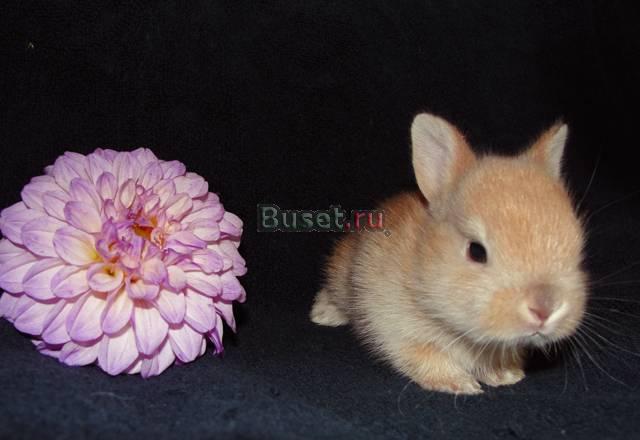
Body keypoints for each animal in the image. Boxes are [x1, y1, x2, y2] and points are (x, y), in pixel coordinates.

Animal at [310, 113, 587, 395]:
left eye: (577, 247)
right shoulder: (395, 327)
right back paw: (323, 314)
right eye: (476, 251)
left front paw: (506, 375)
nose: (545, 309)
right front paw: (459, 383)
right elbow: (424, 355)